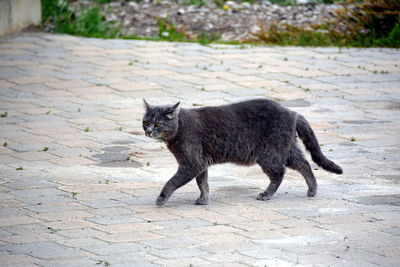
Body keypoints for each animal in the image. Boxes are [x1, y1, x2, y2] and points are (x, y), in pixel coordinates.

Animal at [142, 99, 342, 206]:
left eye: (158, 123)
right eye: (145, 122)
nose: (148, 131)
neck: (179, 129)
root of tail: (292, 112)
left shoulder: (191, 163)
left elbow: (172, 181)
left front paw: (161, 199)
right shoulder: (200, 163)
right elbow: (203, 183)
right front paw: (204, 199)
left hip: (270, 153)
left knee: (280, 173)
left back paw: (266, 194)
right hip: (286, 149)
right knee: (305, 164)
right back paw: (312, 190)